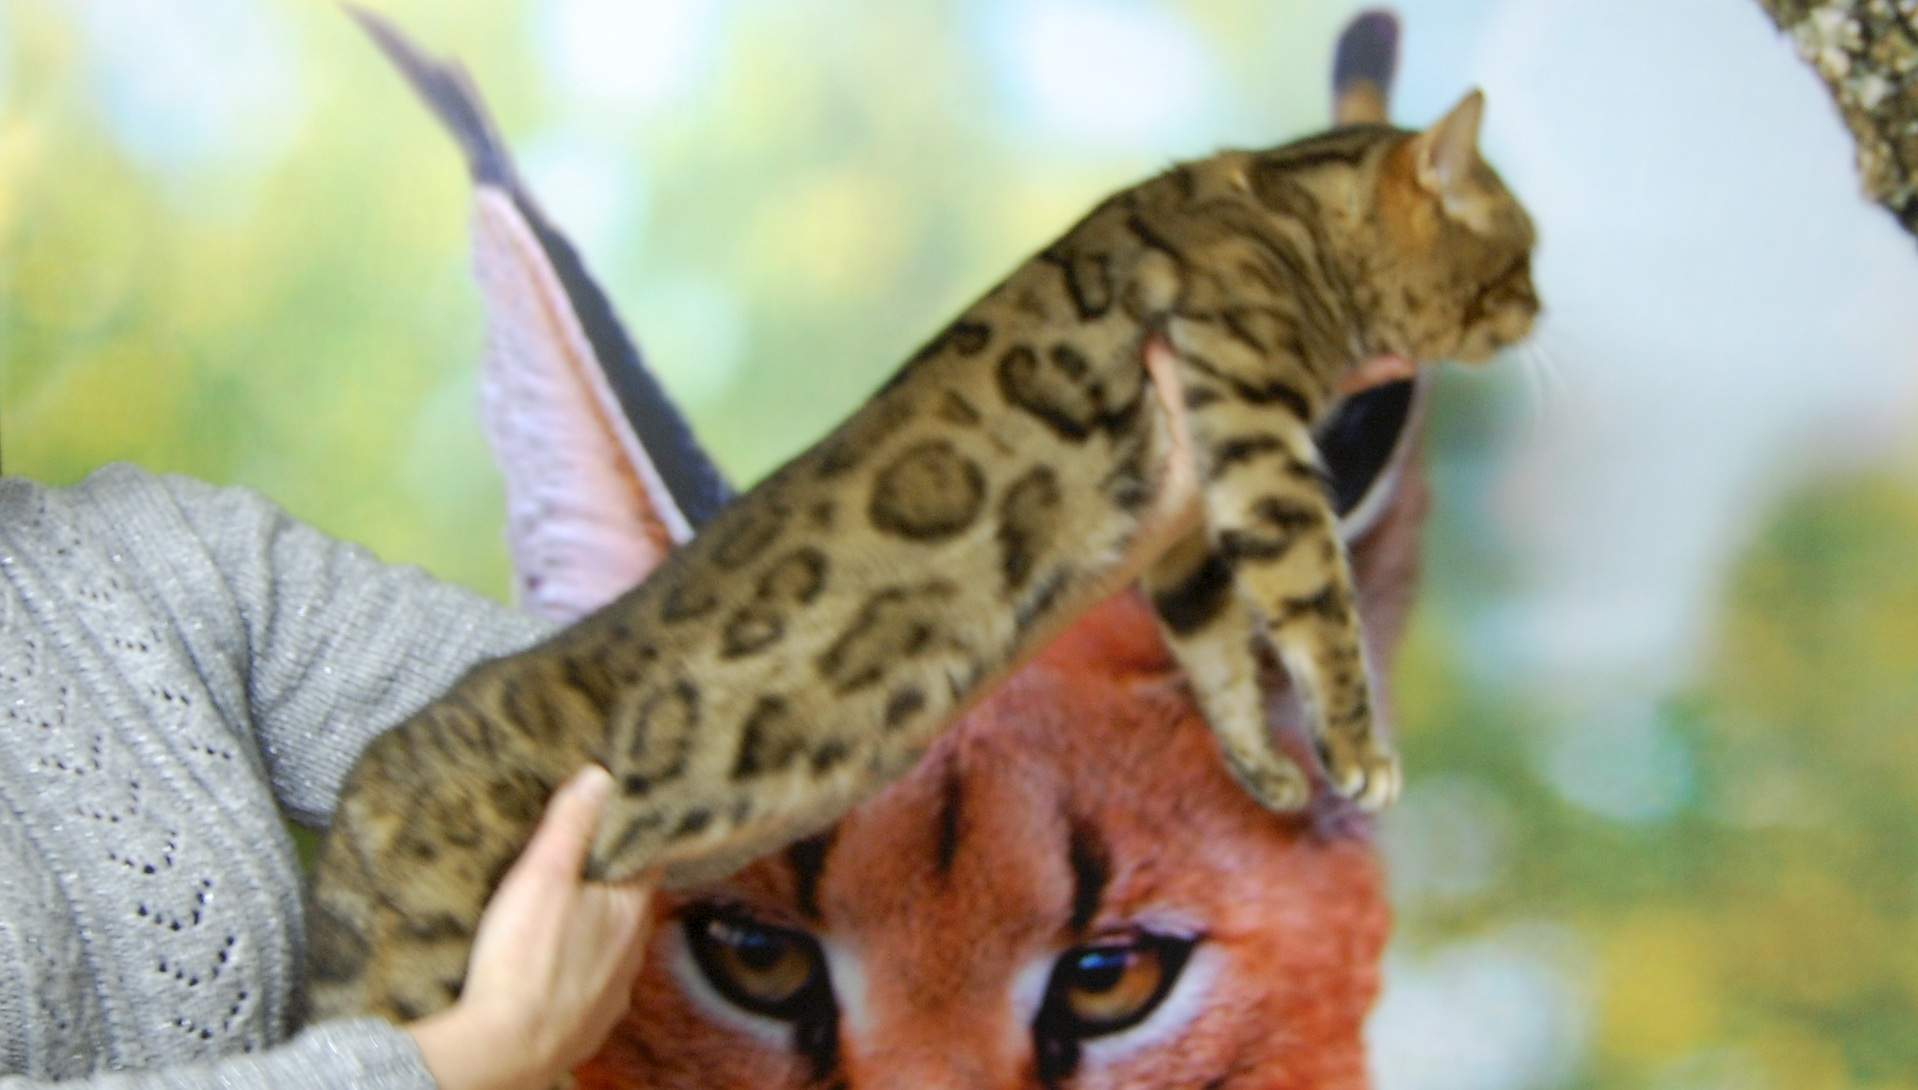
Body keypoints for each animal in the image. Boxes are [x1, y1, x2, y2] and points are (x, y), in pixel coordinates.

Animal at [311, 6, 1538, 1027]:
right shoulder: (1253, 435)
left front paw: (1266, 769)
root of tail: (370, 779)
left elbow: (1218, 646)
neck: (1276, 203)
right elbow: (1313, 604)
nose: (1538, 309)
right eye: (1521, 251)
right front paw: (1359, 753)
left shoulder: (1194, 512)